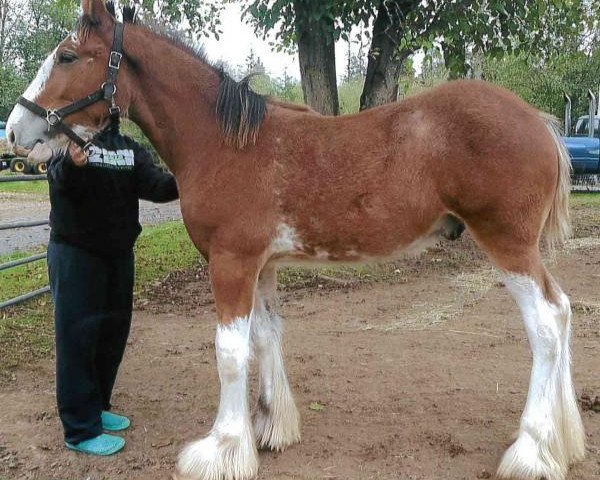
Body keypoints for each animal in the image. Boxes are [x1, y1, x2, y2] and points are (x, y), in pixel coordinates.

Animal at [4, 1, 584, 478]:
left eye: (68, 56)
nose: (15, 132)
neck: (225, 143)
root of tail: (540, 121)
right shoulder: (261, 265)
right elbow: (266, 337)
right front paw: (270, 430)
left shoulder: (231, 262)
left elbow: (230, 351)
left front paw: (223, 449)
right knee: (564, 311)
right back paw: (566, 442)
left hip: (508, 245)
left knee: (546, 324)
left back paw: (532, 452)